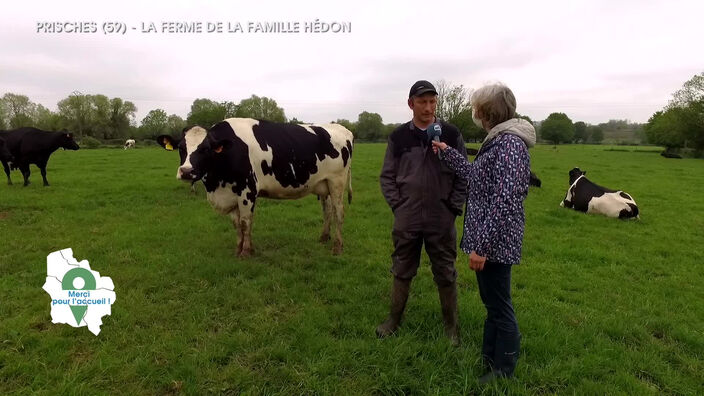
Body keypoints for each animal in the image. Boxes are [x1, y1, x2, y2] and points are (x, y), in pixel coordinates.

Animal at [157, 117, 354, 256]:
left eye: (205, 149)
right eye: (181, 148)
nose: (186, 171)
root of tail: (342, 128)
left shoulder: (247, 190)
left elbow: (245, 222)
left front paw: (245, 252)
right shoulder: (231, 193)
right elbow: (237, 224)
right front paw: (239, 249)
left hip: (337, 182)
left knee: (339, 212)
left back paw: (337, 247)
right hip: (323, 184)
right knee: (327, 210)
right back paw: (324, 237)